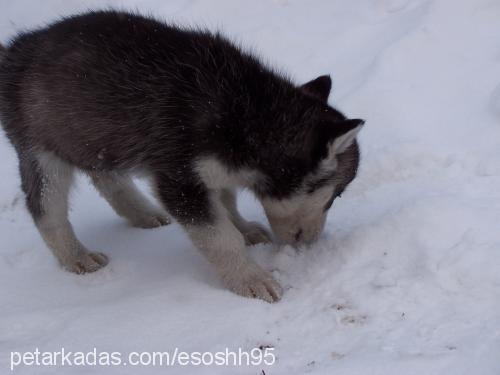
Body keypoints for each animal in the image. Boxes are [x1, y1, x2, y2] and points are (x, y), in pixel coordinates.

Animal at [0, 11, 368, 302]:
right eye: (334, 196)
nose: (312, 244)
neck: (248, 112)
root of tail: (16, 49)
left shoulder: (213, 171)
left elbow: (226, 203)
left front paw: (244, 227)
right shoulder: (179, 179)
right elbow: (220, 237)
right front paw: (250, 278)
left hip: (92, 135)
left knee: (105, 175)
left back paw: (142, 213)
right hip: (42, 151)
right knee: (45, 208)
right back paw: (77, 257)